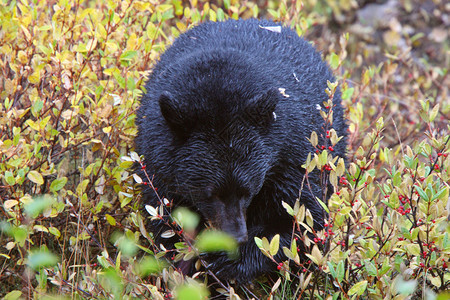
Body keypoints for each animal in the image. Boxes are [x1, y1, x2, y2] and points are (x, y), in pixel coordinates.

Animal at [135, 18, 346, 284]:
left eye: (248, 191)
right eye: (209, 194)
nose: (234, 237)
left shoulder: (291, 153)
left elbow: (304, 220)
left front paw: (229, 259)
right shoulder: (157, 162)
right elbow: (166, 223)